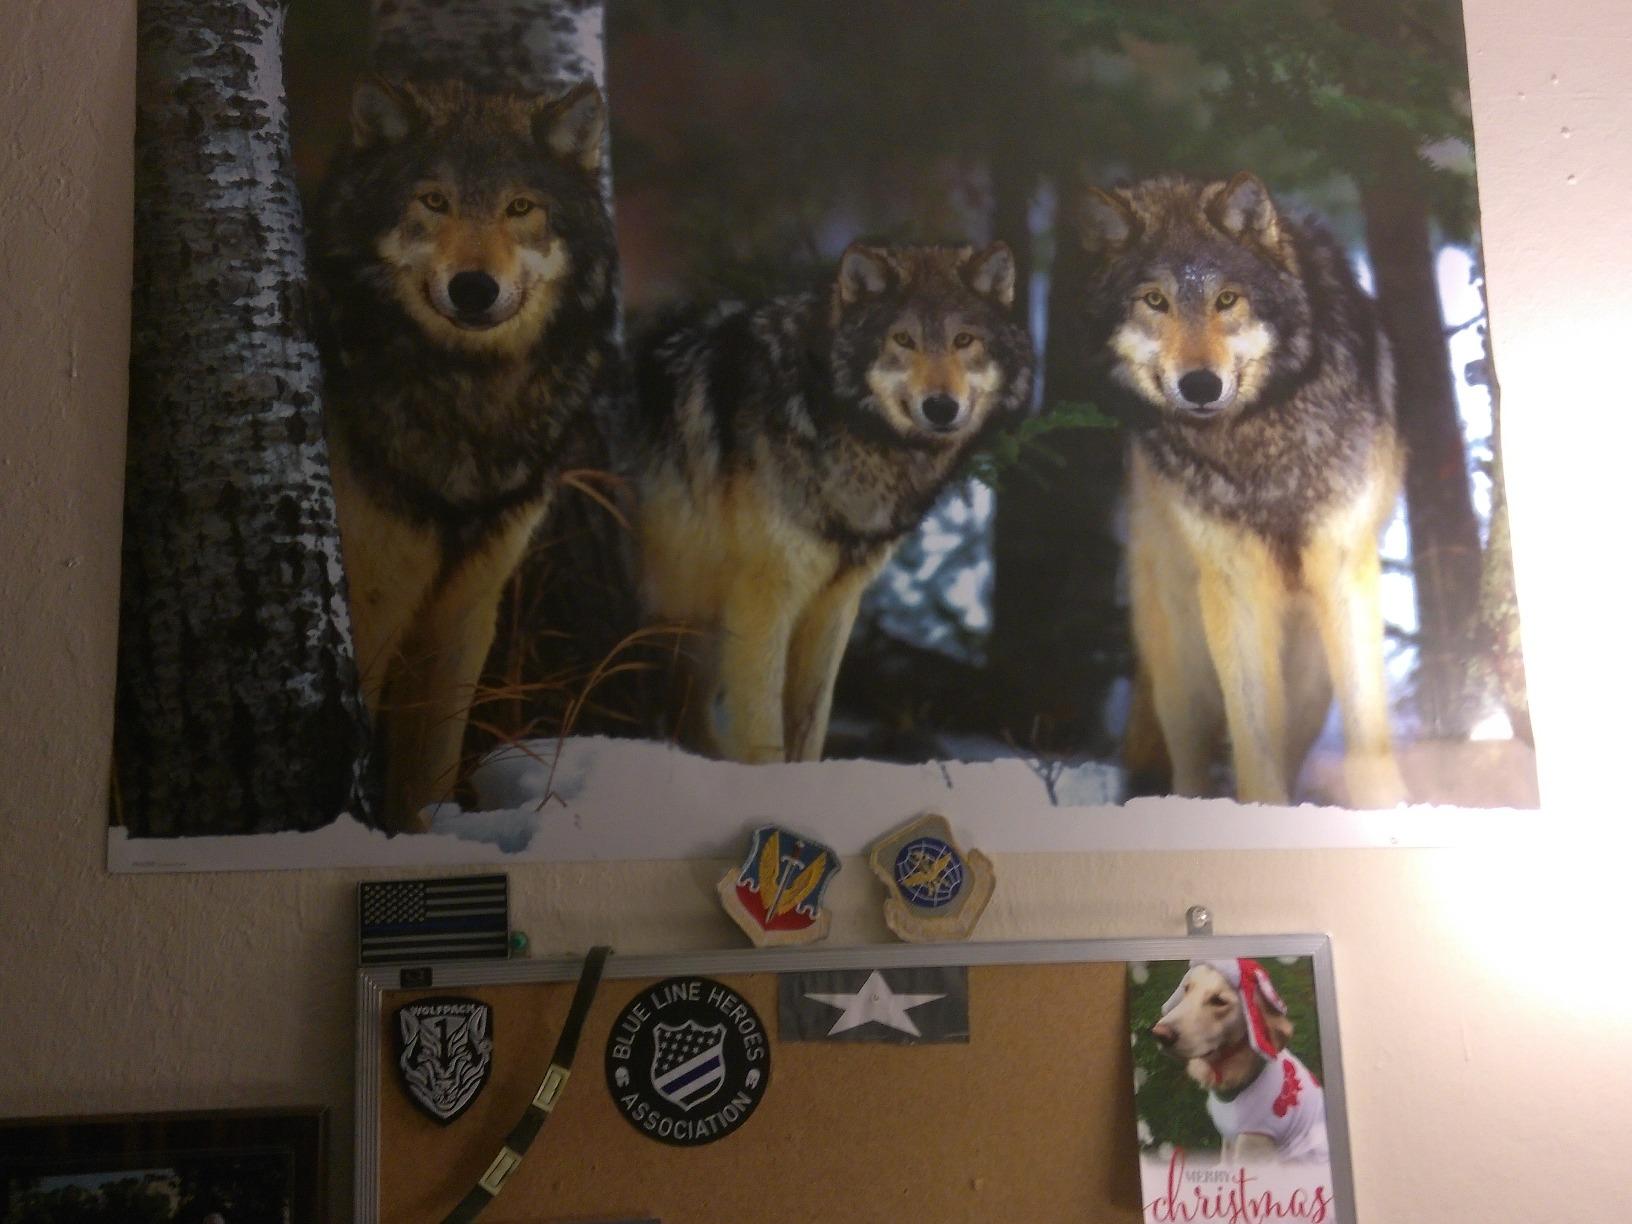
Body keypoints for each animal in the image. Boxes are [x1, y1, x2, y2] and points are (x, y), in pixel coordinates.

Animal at [309, 78, 617, 830]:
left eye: (520, 207)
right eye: (433, 201)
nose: (473, 287)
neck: (467, 402)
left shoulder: (465, 610)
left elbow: (430, 775)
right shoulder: (372, 602)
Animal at [633, 242, 1033, 764]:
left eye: (964, 340)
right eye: (902, 339)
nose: (941, 407)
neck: (827, 414)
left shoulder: (835, 602)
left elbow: (810, 725)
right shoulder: (764, 597)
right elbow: (764, 734)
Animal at [1068, 173, 1407, 807]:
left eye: (1227, 300)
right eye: (1155, 301)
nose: (1201, 385)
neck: (1256, 440)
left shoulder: (1342, 562)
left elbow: (1366, 723)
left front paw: (1388, 809)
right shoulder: (1233, 578)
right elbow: (1252, 730)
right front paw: (1264, 812)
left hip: (1307, 667)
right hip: (1183, 650)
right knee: (1189, 759)